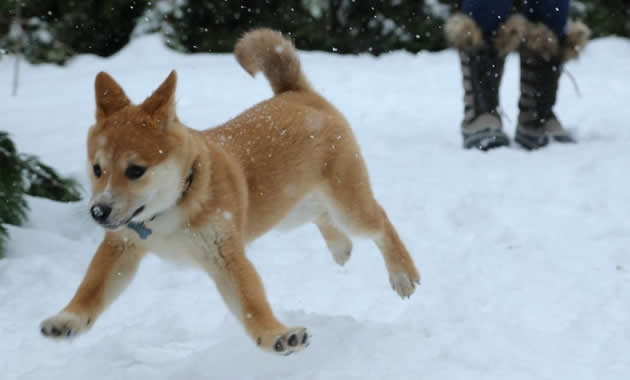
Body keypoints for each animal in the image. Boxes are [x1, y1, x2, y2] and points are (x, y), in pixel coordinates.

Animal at [42, 28, 422, 354]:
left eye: (135, 170)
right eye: (97, 169)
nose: (98, 211)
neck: (173, 208)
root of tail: (297, 93)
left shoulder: (224, 252)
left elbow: (251, 303)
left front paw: (278, 337)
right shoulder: (121, 246)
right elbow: (92, 289)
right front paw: (67, 320)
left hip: (346, 202)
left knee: (379, 221)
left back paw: (402, 273)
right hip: (286, 208)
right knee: (321, 215)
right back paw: (340, 247)